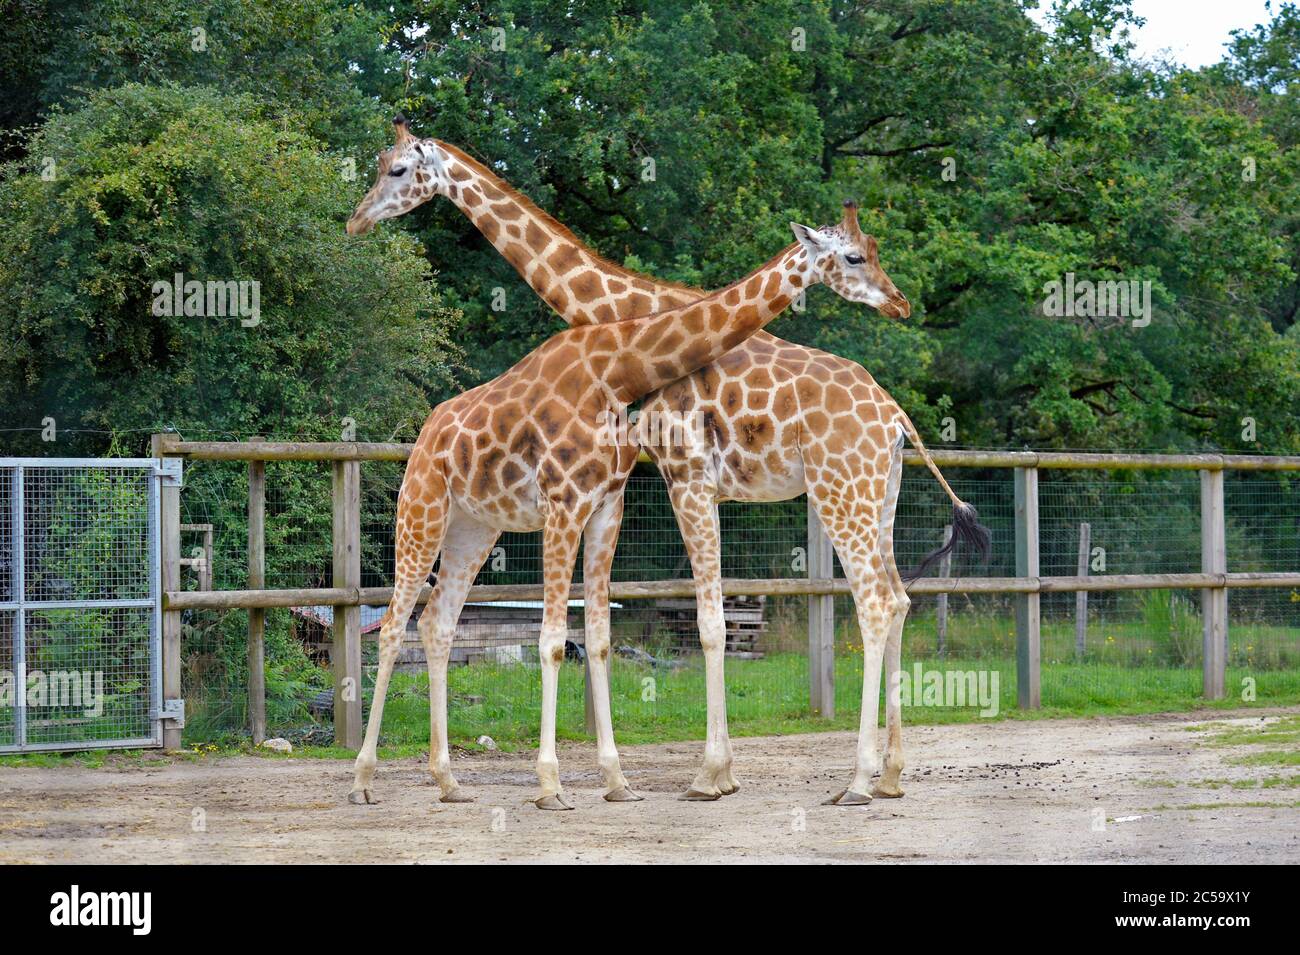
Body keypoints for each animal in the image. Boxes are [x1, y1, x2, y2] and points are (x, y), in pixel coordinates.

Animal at [345, 117, 982, 805]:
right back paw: (889, 775)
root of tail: (895, 419)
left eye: (396, 170)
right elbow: (694, 620)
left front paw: (708, 776)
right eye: (859, 255)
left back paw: (860, 780)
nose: (356, 220)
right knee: (899, 599)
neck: (622, 317)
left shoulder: (683, 476)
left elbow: (705, 623)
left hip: (841, 492)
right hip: (877, 497)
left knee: (875, 603)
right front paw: (717, 774)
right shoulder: (676, 484)